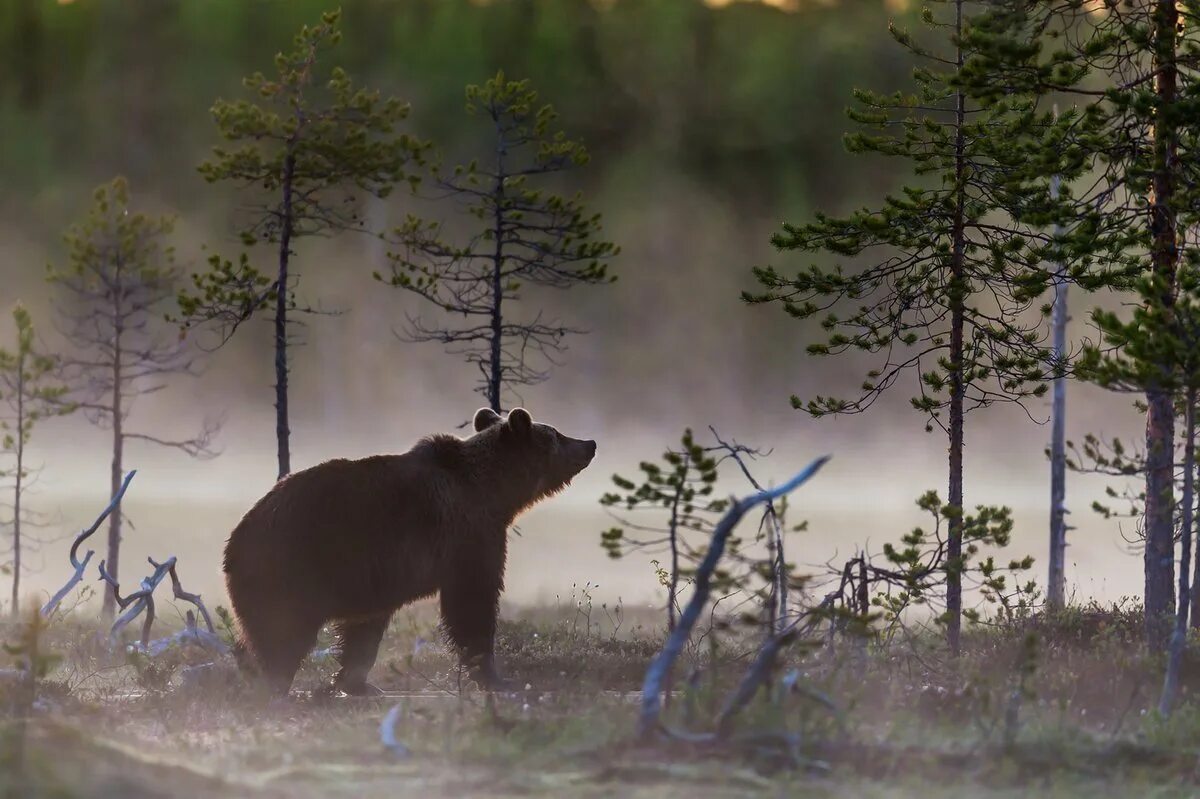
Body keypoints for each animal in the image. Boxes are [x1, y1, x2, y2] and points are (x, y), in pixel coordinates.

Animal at [220, 405, 595, 691]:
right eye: (556, 434)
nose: (589, 443)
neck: (493, 493)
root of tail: (234, 539)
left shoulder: (376, 574)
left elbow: (364, 628)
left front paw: (357, 682)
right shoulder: (468, 538)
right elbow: (473, 602)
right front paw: (494, 676)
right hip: (293, 566)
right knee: (281, 631)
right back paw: (273, 680)